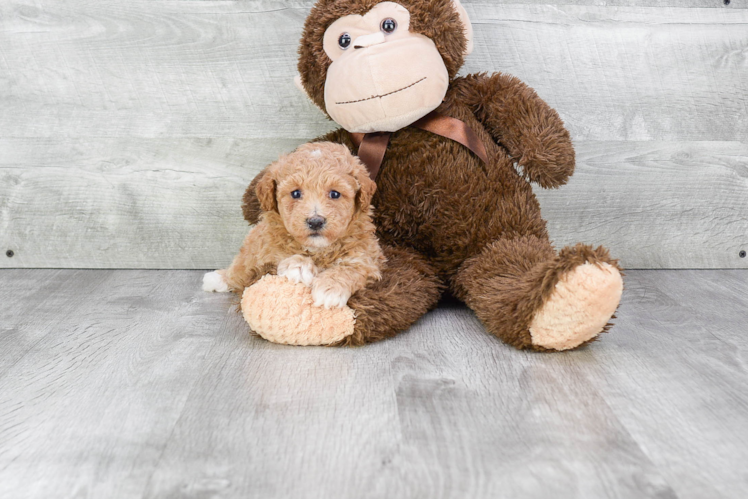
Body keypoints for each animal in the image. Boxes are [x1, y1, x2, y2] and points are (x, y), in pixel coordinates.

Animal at [202, 142, 382, 308]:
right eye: (295, 193)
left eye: (335, 194)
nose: (315, 221)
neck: (317, 249)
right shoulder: (267, 245)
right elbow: (278, 253)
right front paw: (299, 266)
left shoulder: (367, 257)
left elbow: (351, 268)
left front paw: (330, 289)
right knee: (241, 264)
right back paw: (217, 278)